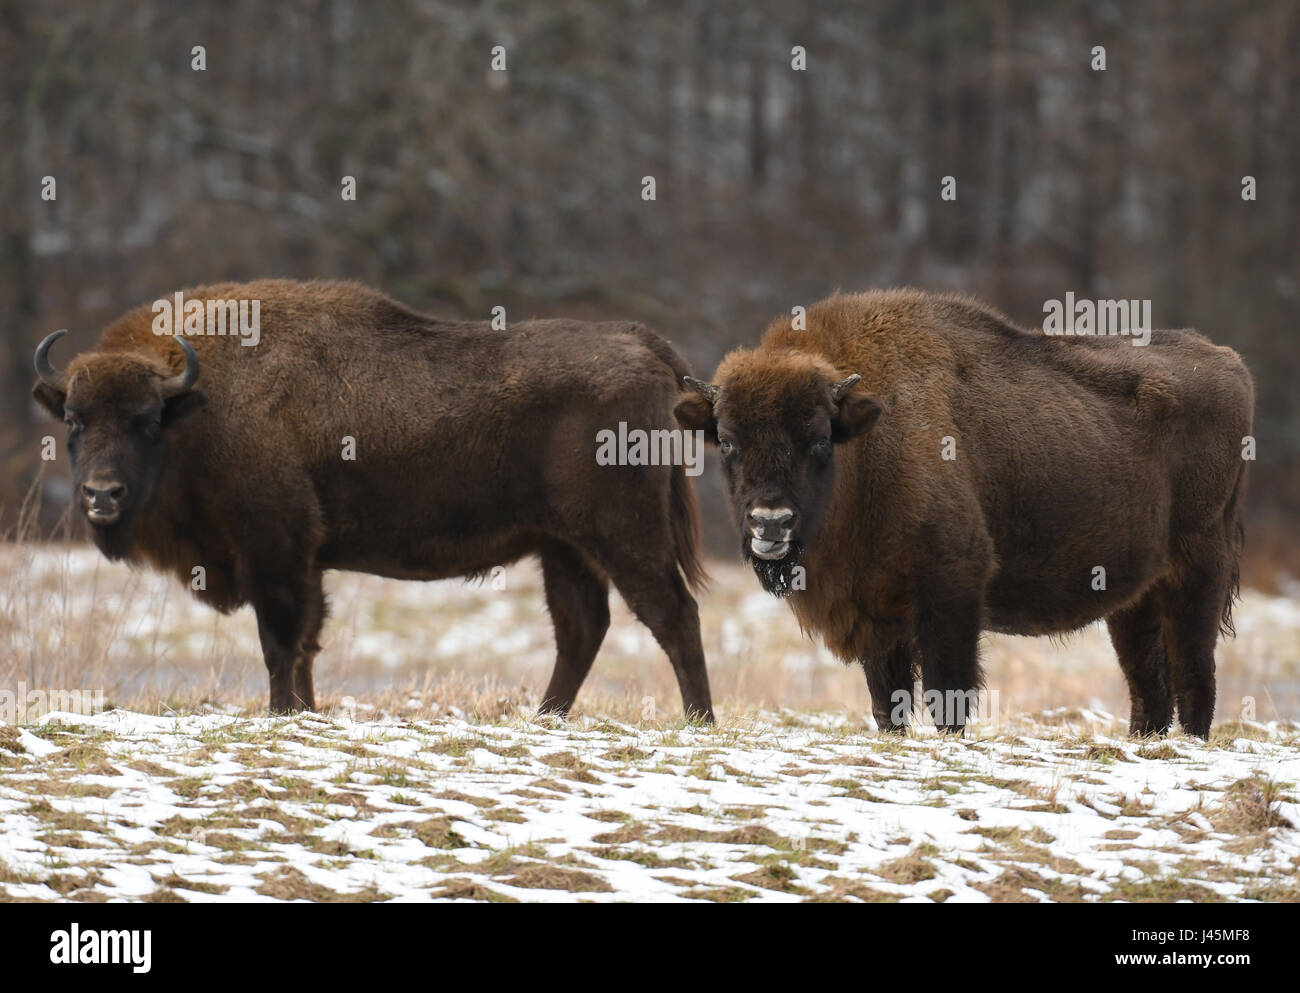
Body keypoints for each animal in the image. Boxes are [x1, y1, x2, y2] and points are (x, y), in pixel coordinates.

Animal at [30, 279, 717, 722]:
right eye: (74, 419)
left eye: (146, 421)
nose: (101, 495)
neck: (199, 407)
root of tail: (640, 343)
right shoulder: (303, 564)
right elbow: (305, 645)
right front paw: (304, 712)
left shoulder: (276, 552)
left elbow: (281, 643)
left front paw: (282, 715)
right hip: (564, 547)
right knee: (582, 628)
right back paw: (545, 719)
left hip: (622, 535)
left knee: (672, 614)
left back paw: (698, 721)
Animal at [676, 287, 1253, 738]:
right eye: (728, 440)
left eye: (818, 438)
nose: (770, 522)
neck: (870, 439)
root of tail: (1229, 362)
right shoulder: (876, 614)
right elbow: (887, 701)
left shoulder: (951, 589)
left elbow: (946, 690)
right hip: (1135, 597)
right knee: (1148, 683)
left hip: (1197, 573)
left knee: (1195, 674)